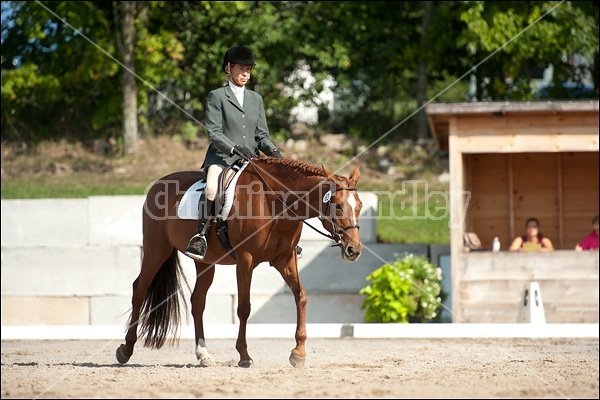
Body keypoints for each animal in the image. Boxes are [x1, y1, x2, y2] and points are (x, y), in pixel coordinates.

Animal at [115, 157, 364, 368]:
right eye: (338, 205)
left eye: (360, 206)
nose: (354, 250)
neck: (275, 203)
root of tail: (159, 183)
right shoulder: (246, 259)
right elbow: (244, 307)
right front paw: (244, 355)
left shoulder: (285, 259)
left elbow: (301, 296)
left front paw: (298, 353)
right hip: (157, 250)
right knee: (139, 289)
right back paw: (125, 349)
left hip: (205, 262)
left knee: (198, 301)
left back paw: (203, 355)